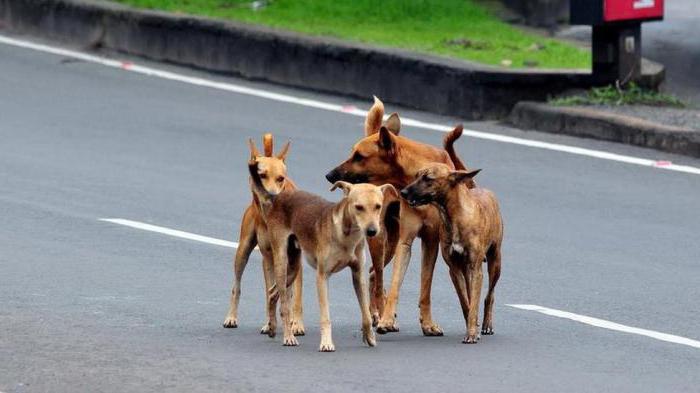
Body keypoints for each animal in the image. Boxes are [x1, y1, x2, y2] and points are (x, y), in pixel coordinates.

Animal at [221, 134, 304, 334]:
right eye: (262, 176)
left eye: (281, 178)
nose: (272, 196)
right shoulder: (269, 256)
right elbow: (272, 292)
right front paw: (272, 321)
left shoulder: (296, 256)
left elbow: (294, 295)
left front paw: (296, 324)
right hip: (243, 251)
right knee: (238, 285)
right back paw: (233, 317)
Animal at [249, 158, 396, 350]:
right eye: (359, 207)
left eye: (378, 206)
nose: (372, 231)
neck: (345, 235)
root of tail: (277, 198)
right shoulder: (322, 277)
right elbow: (325, 317)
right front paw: (326, 343)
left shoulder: (358, 275)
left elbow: (365, 311)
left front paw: (369, 337)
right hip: (281, 261)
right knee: (284, 305)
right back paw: (288, 336)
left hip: (293, 267)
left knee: (273, 293)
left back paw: (272, 327)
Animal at [324, 97, 470, 334]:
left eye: (359, 156)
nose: (329, 175)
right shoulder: (405, 241)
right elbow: (393, 285)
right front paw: (386, 319)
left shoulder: (431, 241)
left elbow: (425, 287)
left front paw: (427, 323)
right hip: (380, 238)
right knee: (378, 277)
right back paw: (379, 315)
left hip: (390, 242)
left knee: (374, 274)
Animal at [400, 163, 504, 344]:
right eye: (416, 175)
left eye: (428, 178)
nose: (403, 192)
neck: (455, 216)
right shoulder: (454, 270)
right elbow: (466, 302)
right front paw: (472, 326)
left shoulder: (476, 269)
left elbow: (475, 302)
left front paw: (472, 333)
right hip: (466, 270)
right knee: (472, 294)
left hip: (495, 262)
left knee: (489, 295)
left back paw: (487, 324)